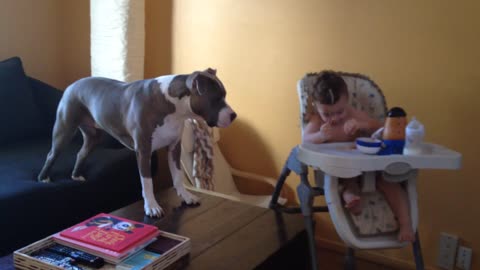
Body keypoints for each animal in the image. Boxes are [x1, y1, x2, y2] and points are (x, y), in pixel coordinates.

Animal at [37, 68, 236, 217]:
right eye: (216, 98)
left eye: (225, 95)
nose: (234, 115)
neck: (173, 105)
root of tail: (72, 85)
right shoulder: (143, 150)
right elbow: (147, 182)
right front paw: (152, 206)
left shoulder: (174, 147)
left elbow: (178, 176)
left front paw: (186, 196)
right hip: (64, 130)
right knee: (51, 154)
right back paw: (43, 178)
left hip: (93, 137)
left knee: (81, 152)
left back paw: (76, 175)